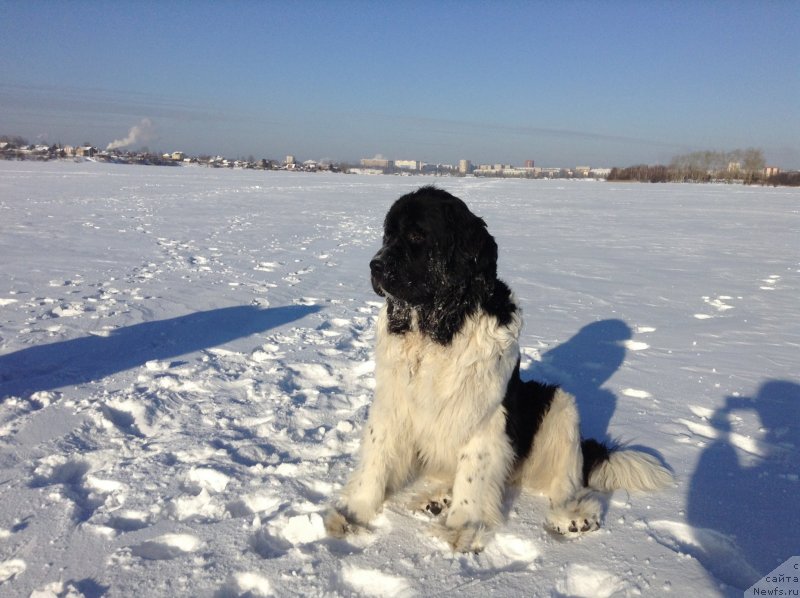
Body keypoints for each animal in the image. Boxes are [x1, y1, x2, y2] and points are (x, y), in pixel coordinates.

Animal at [324, 186, 668, 552]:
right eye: (388, 235)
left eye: (417, 234)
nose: (374, 265)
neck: (439, 326)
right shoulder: (393, 403)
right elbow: (376, 460)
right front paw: (353, 513)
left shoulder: (485, 415)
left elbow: (472, 474)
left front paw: (460, 528)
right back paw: (437, 498)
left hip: (559, 404)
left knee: (566, 482)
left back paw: (571, 516)